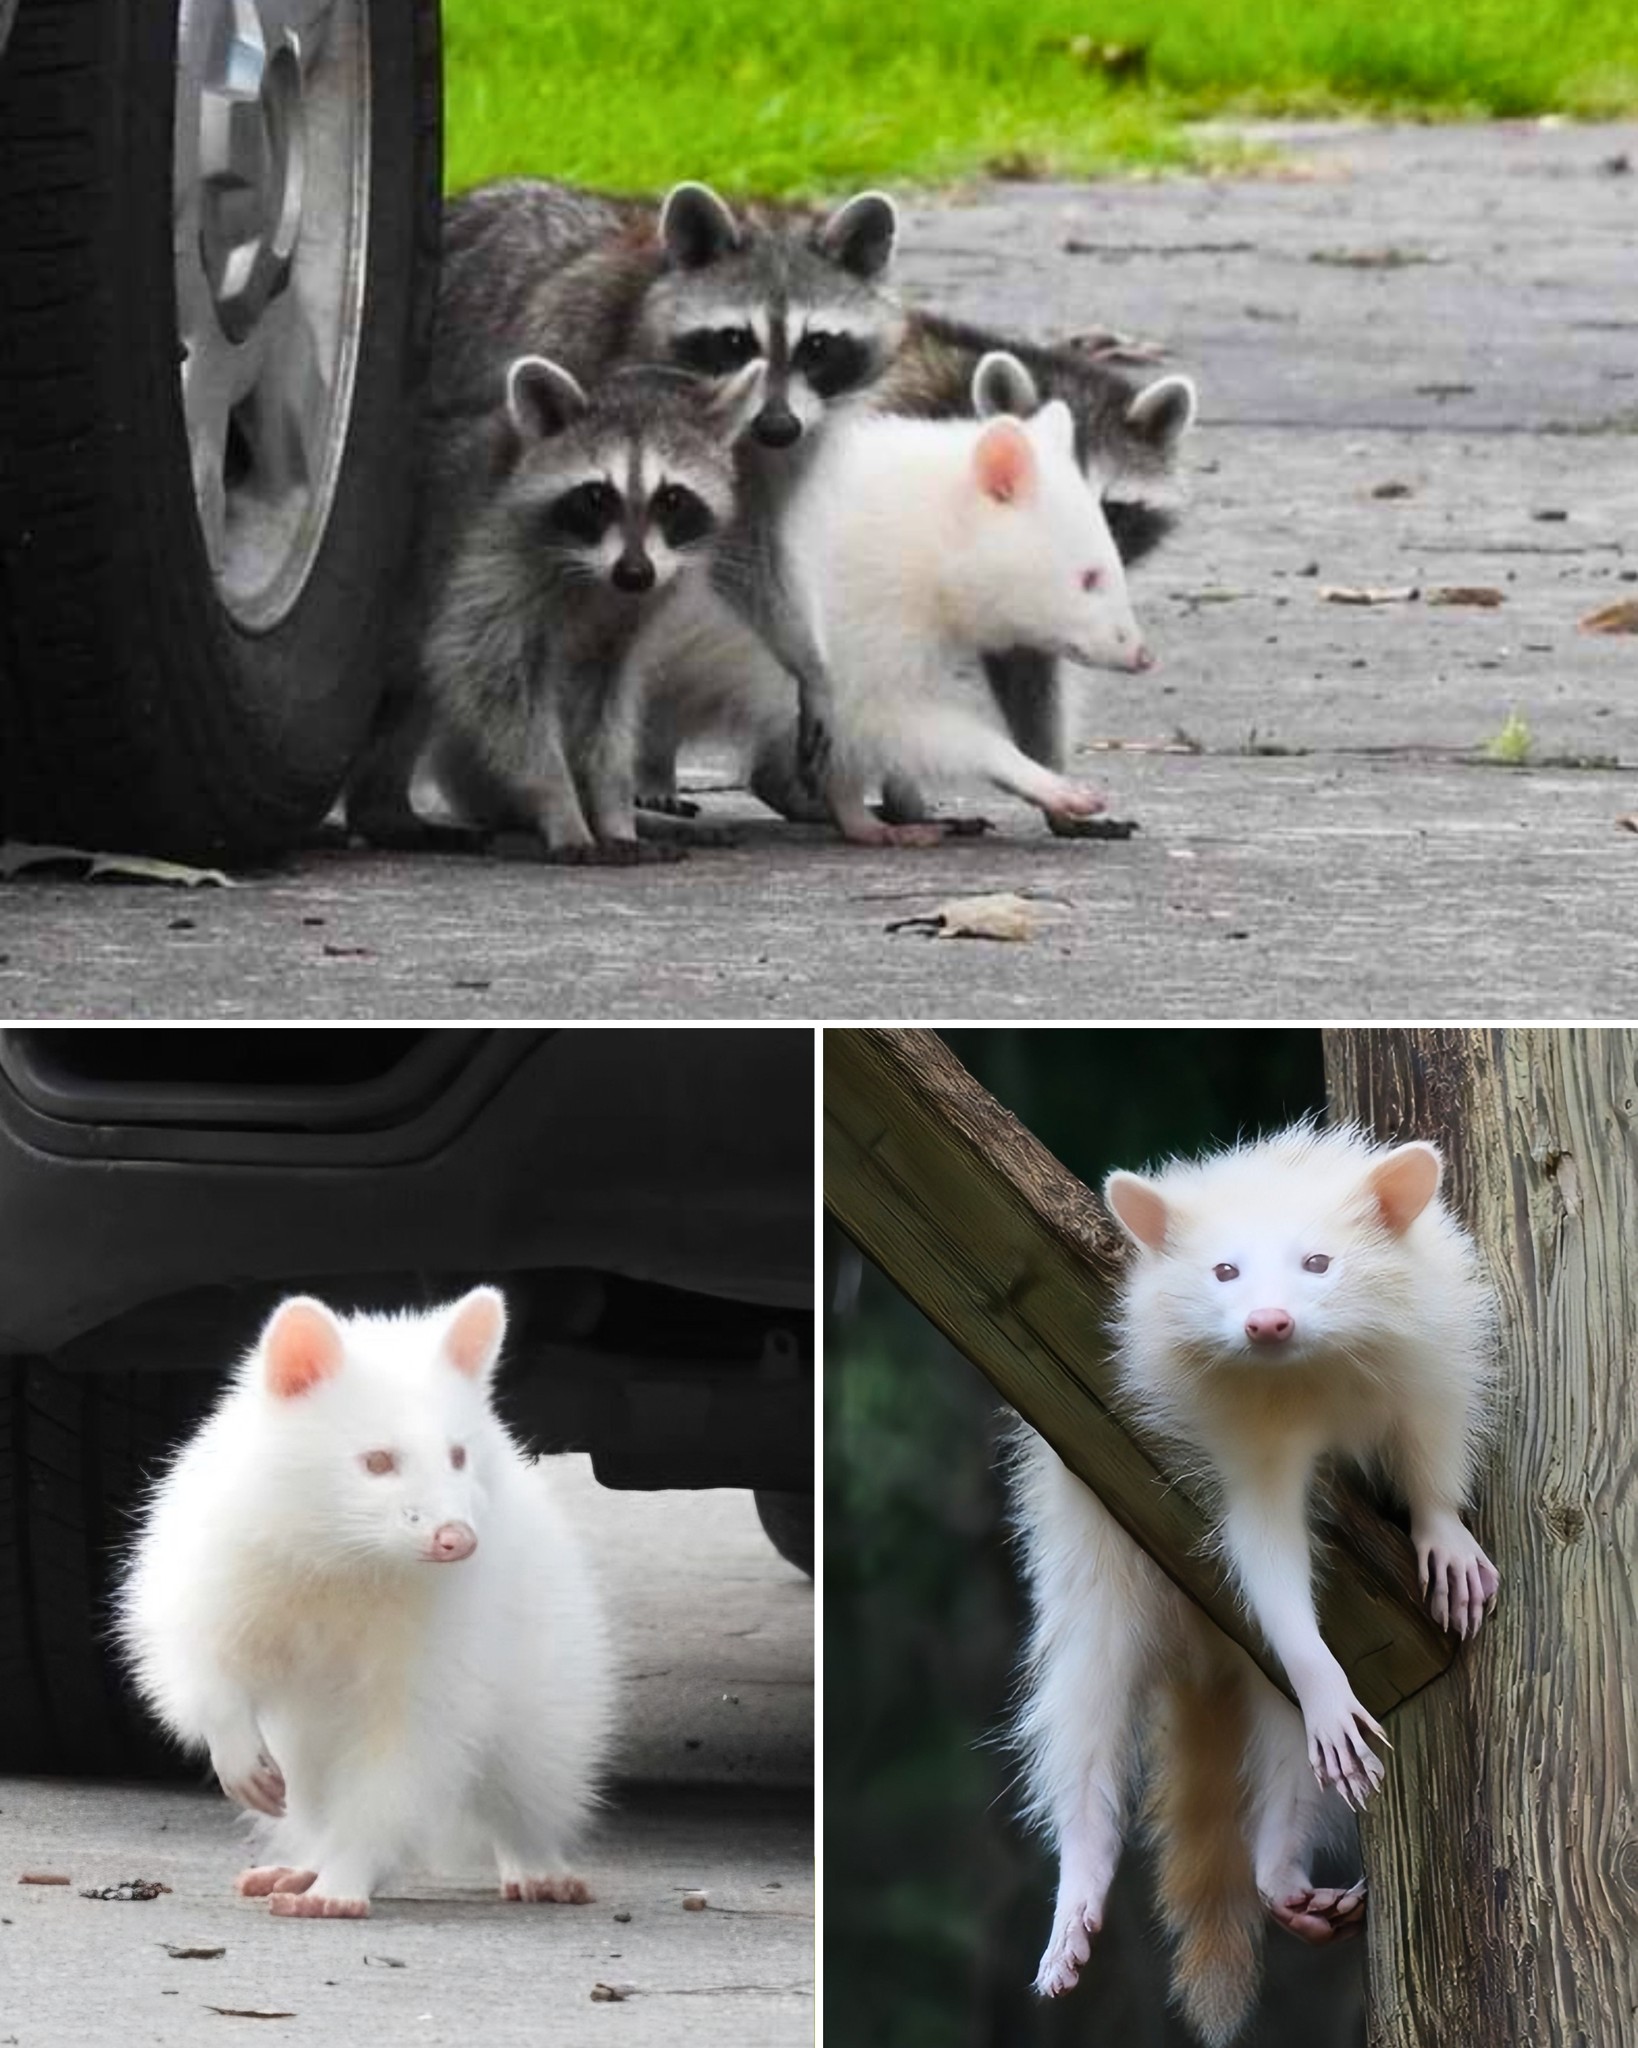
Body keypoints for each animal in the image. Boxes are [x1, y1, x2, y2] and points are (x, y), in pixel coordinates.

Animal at [347, 355, 763, 860]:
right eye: (597, 497)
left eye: (672, 499)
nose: (634, 573)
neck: (597, 577)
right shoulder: (490, 560)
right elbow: (489, 677)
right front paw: (560, 805)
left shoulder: (635, 608)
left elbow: (606, 704)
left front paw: (613, 808)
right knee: (415, 685)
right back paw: (383, 809)